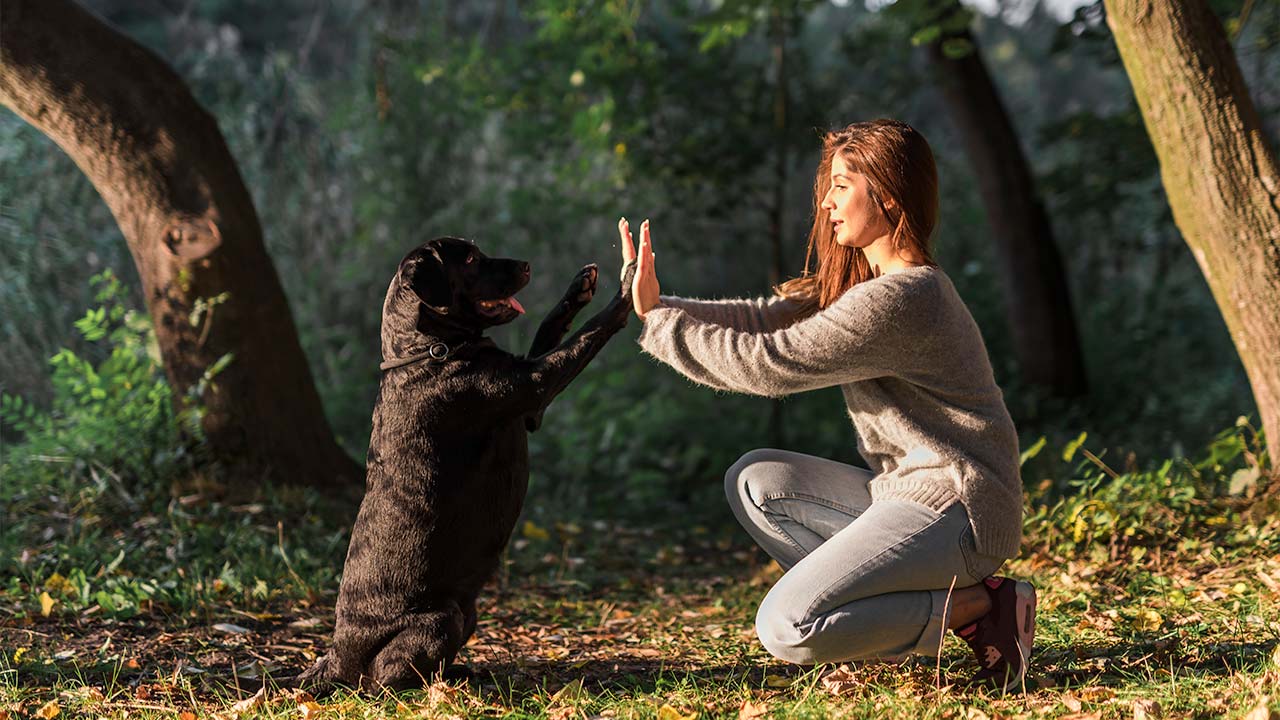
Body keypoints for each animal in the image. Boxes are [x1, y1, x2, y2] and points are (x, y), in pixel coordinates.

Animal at [300, 235, 640, 691]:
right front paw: (628, 287)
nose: (526, 264)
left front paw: (578, 288)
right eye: (471, 259)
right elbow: (589, 334)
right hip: (441, 619)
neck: (429, 350)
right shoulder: (535, 386)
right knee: (384, 679)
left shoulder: (530, 409)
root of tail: (336, 657)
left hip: (468, 613)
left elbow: (548, 330)